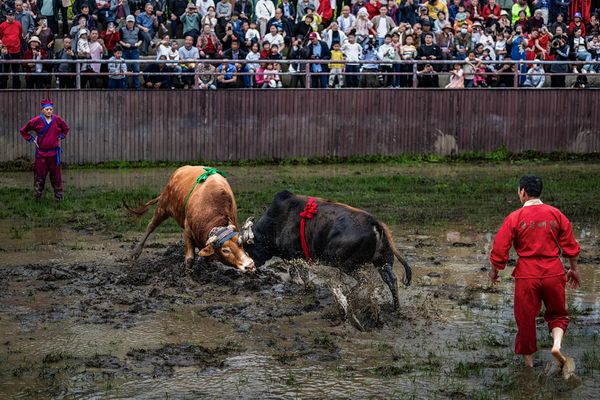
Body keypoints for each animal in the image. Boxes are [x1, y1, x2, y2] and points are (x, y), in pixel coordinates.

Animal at [126, 165, 255, 272]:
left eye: (240, 243)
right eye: (225, 250)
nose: (250, 265)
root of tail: (180, 170)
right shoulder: (188, 231)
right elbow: (190, 258)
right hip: (163, 206)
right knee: (151, 226)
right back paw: (136, 252)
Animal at [241, 191, 410, 310]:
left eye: (247, 247)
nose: (249, 267)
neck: (276, 223)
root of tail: (375, 223)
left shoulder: (296, 255)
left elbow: (301, 273)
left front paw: (308, 287)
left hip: (348, 265)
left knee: (364, 280)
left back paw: (349, 294)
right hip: (382, 263)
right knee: (391, 280)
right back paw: (396, 308)